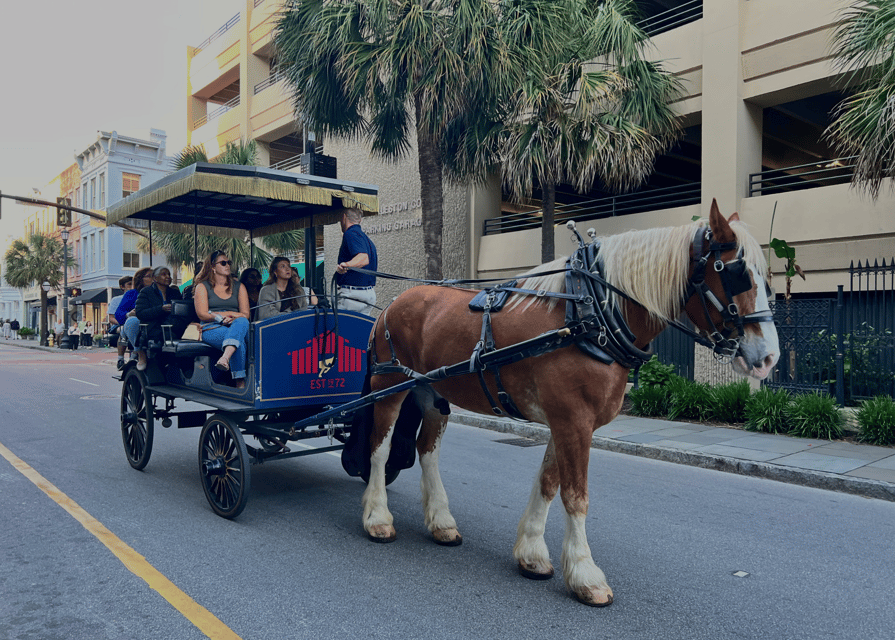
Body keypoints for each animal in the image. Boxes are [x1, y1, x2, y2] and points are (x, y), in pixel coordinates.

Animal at [360, 202, 780, 608]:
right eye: (737, 273)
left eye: (766, 279)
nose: (769, 358)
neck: (592, 314)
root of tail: (395, 303)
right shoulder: (573, 421)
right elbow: (576, 496)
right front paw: (585, 574)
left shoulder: (568, 421)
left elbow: (548, 484)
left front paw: (531, 553)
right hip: (389, 384)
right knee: (379, 448)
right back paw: (377, 516)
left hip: (432, 393)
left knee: (427, 450)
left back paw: (441, 522)